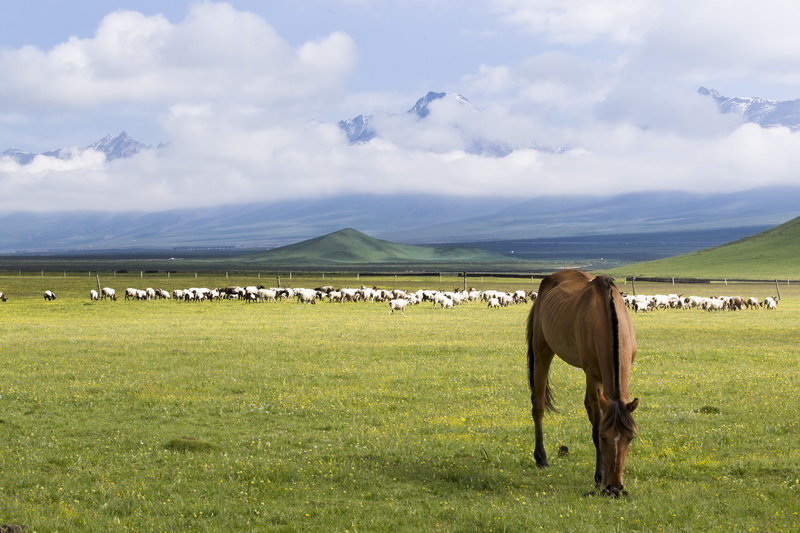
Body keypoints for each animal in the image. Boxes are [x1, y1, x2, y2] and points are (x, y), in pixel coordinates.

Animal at [528, 270, 640, 494]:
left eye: (630, 437)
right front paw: (600, 477)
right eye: (605, 438)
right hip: (542, 351)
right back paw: (541, 457)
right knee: (538, 406)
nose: (615, 488)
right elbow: (595, 423)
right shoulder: (593, 375)